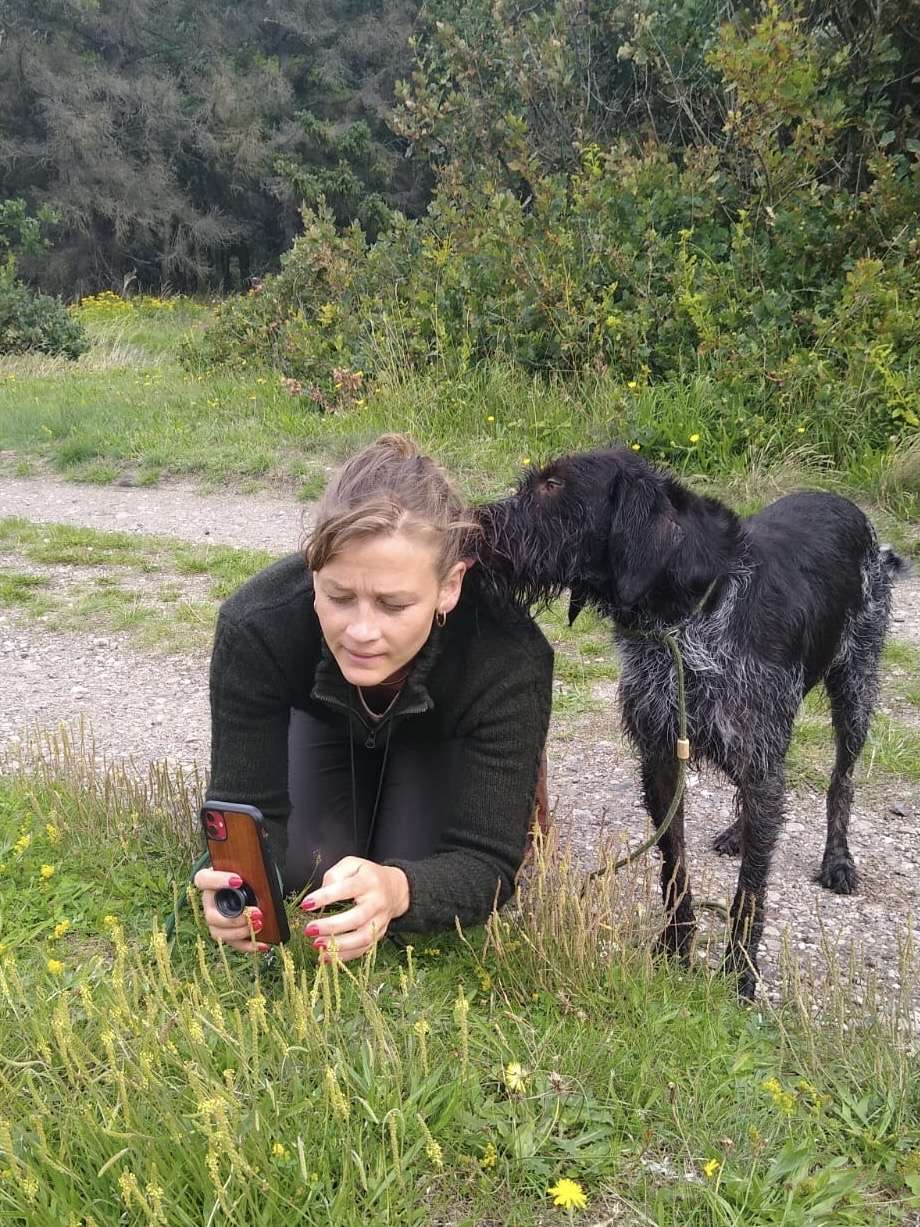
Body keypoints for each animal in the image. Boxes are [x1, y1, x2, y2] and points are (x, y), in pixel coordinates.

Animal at [478, 449, 912, 996]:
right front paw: (674, 948)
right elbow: (674, 865)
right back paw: (737, 832)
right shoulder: (663, 757)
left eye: (553, 485)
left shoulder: (757, 756)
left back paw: (837, 858)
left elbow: (750, 889)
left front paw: (739, 973)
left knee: (842, 781)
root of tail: (853, 512)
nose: (471, 526)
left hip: (855, 687)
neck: (683, 621)